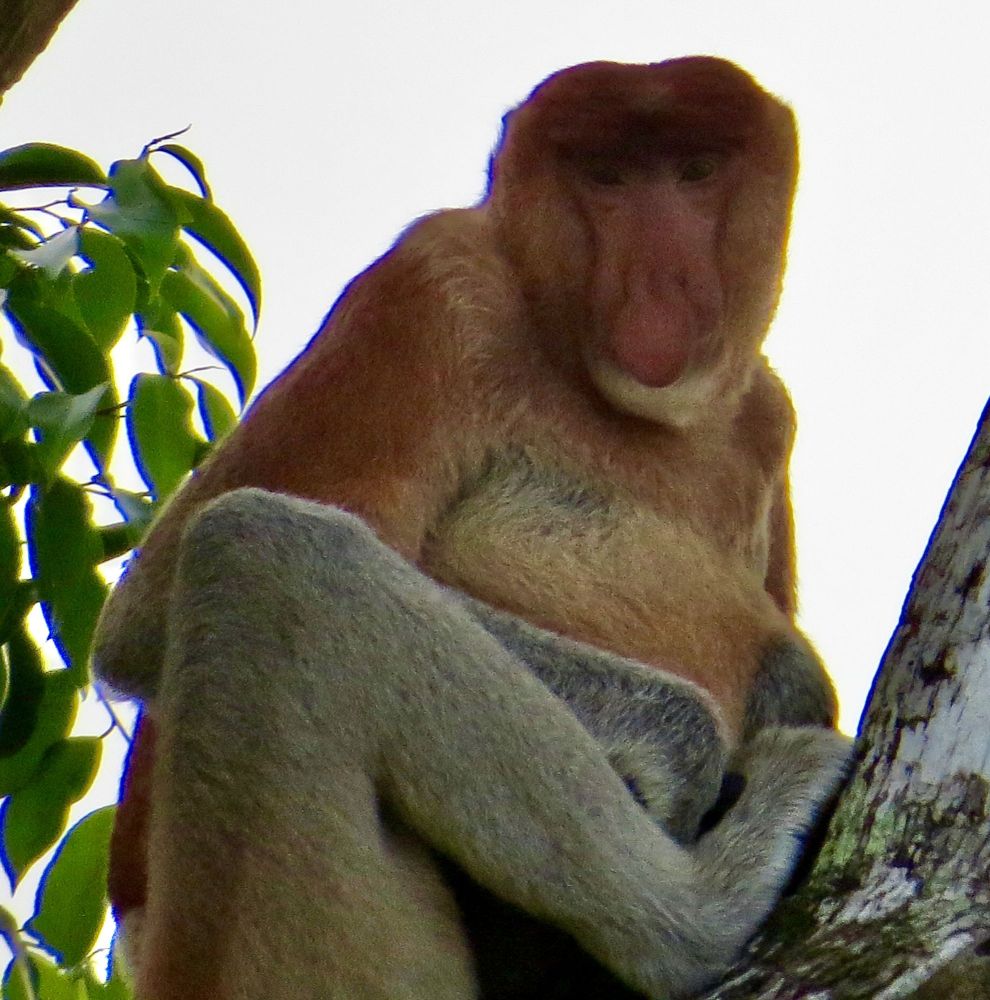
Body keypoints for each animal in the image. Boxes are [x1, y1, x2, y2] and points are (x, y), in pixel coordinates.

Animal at [93, 57, 850, 1000]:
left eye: (696, 171)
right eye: (606, 176)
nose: (658, 281)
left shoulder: (768, 416)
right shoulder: (431, 290)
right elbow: (145, 621)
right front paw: (685, 746)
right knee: (269, 557)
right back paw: (698, 917)